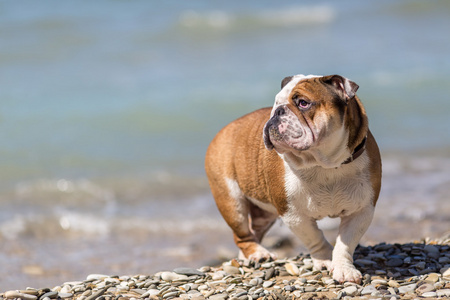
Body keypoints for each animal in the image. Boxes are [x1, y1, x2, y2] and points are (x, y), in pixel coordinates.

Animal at [206, 74, 382, 282]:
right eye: (276, 103)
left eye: (303, 103)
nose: (277, 111)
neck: (325, 165)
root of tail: (224, 130)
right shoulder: (293, 214)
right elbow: (315, 237)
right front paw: (325, 260)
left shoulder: (361, 210)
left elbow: (345, 244)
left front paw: (344, 269)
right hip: (231, 202)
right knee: (242, 235)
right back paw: (259, 254)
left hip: (263, 213)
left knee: (254, 230)